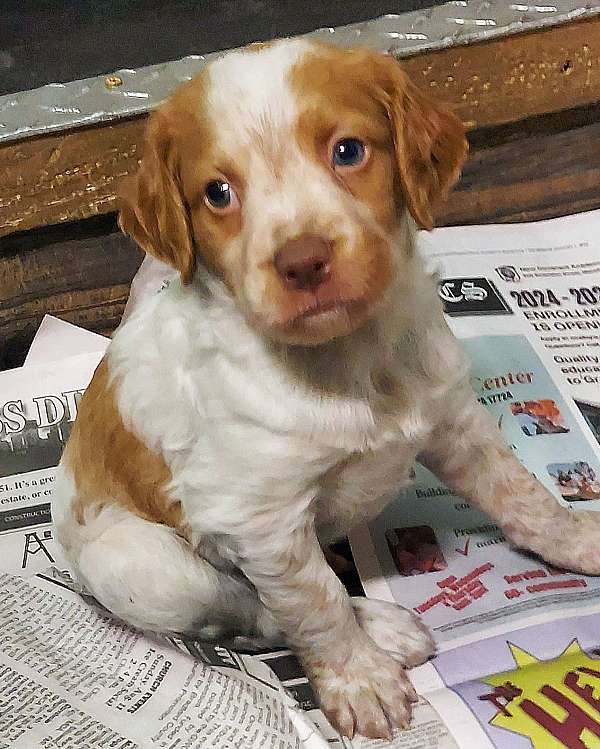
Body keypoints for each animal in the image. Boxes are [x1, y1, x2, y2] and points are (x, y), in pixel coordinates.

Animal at [50, 39, 600, 736]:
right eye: (218, 193)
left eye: (348, 151)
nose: (302, 261)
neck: (349, 362)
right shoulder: (262, 519)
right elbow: (315, 605)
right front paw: (359, 680)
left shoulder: (455, 420)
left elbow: (522, 496)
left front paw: (579, 539)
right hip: (143, 564)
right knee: (252, 610)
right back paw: (383, 628)